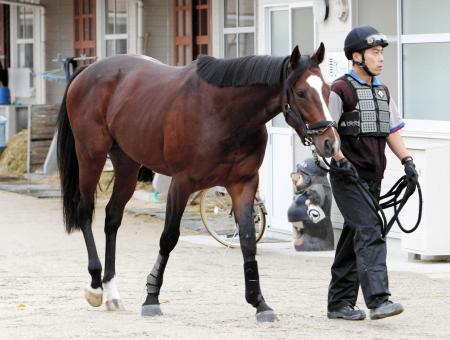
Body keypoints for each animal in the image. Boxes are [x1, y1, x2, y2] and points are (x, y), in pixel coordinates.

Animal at [56, 43, 340, 322]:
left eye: (326, 90)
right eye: (301, 92)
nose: (330, 143)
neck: (224, 113)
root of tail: (88, 71)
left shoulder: (243, 184)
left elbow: (248, 240)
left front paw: (259, 302)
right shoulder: (182, 183)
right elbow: (169, 237)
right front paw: (151, 298)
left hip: (127, 163)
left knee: (112, 217)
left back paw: (111, 292)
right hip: (91, 157)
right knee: (85, 211)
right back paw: (95, 286)